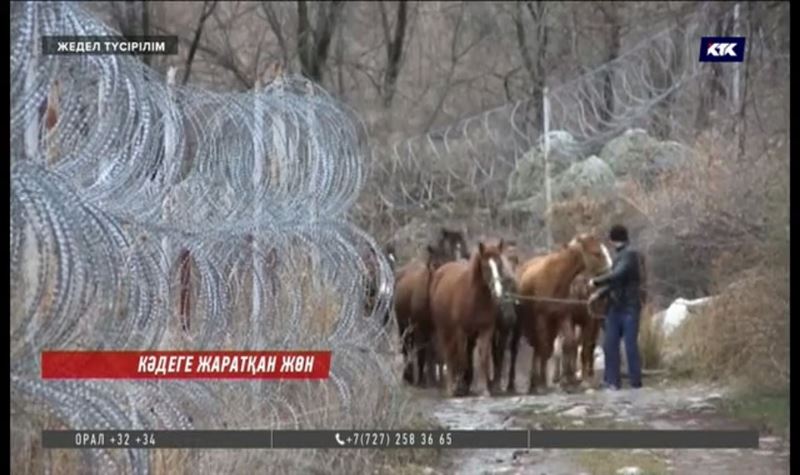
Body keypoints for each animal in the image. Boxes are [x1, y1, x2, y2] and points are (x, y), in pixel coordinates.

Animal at [428, 238, 516, 398]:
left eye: (499, 264)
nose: (498, 291)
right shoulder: (460, 332)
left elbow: (482, 357)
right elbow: (461, 359)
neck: (475, 298)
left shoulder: (486, 330)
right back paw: (451, 387)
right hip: (445, 330)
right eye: (486, 266)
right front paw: (459, 386)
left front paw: (483, 389)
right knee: (449, 354)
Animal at [512, 233, 612, 394]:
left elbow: (571, 344)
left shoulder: (564, 317)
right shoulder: (543, 318)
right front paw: (544, 384)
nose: (610, 273)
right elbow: (547, 348)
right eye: (597, 253)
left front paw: (572, 381)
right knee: (540, 348)